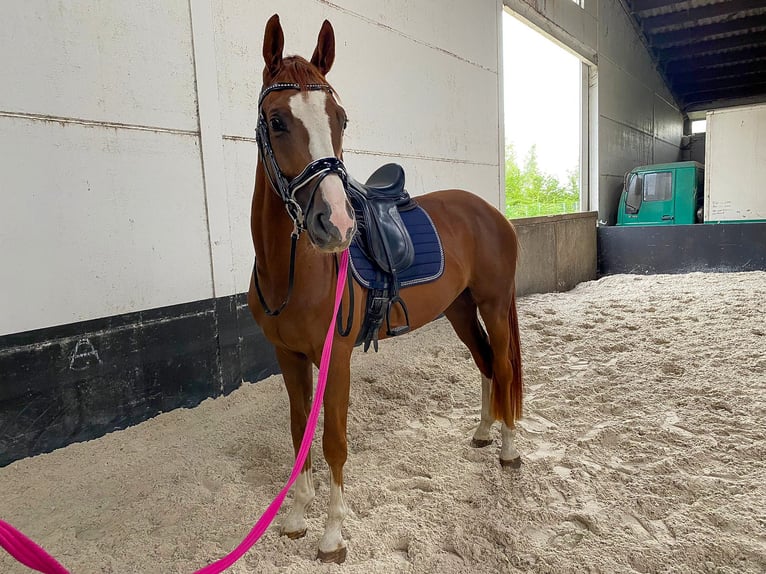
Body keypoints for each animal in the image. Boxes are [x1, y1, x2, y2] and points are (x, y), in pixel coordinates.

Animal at [249, 13, 524, 568]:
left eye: (340, 118)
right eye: (277, 120)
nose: (335, 223)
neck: (292, 271)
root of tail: (490, 211)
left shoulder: (335, 357)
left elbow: (333, 441)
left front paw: (332, 537)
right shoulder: (288, 356)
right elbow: (298, 433)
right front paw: (295, 518)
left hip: (492, 304)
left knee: (503, 368)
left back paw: (508, 449)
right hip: (460, 311)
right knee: (485, 363)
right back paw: (483, 433)